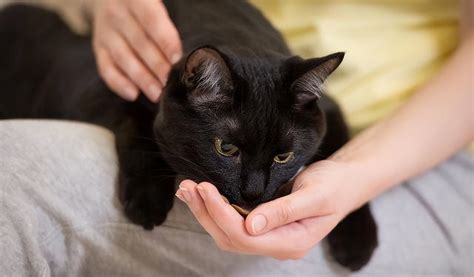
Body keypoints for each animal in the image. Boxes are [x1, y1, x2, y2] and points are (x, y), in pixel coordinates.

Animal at [0, 1, 378, 270]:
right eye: (226, 148)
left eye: (283, 156)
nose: (254, 192)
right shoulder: (102, 86)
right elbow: (137, 125)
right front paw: (148, 199)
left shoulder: (330, 109)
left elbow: (342, 152)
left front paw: (357, 241)